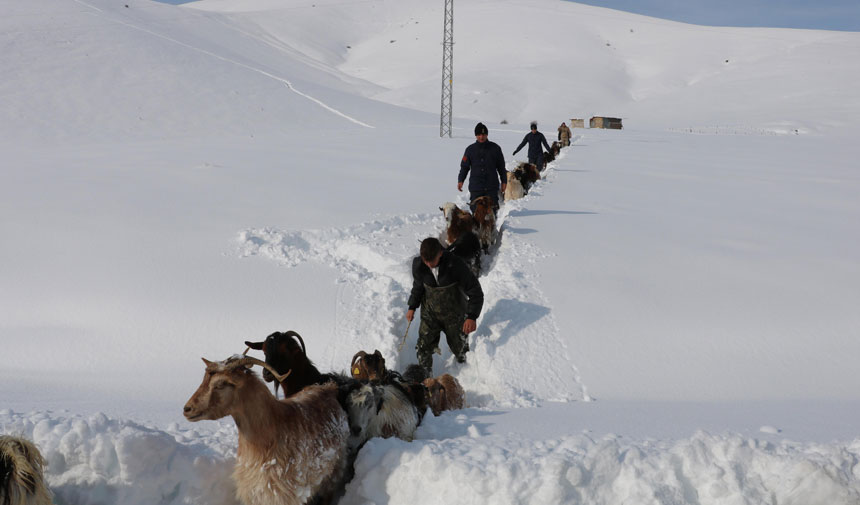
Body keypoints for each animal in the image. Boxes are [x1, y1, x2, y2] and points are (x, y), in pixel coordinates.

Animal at [185, 354, 350, 504]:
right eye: (203, 379)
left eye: (220, 384)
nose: (187, 409)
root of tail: (329, 388)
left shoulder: (283, 493)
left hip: (335, 469)